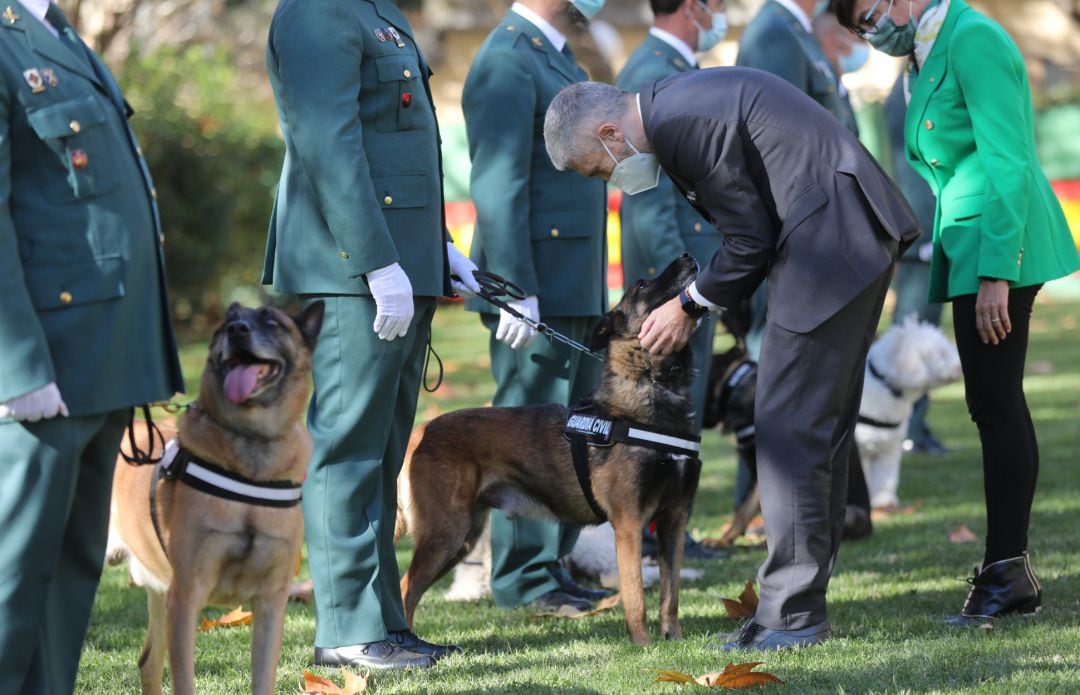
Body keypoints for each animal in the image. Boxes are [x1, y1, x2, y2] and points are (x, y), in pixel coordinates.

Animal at [104, 302, 324, 695]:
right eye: (226, 325)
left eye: (272, 320)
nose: (237, 330)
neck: (251, 450)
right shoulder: (186, 598)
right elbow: (184, 681)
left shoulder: (271, 603)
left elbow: (263, 680)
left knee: (148, 662)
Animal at [397, 254, 699, 647]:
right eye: (644, 286)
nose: (688, 257)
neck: (654, 387)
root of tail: (421, 430)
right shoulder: (630, 524)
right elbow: (636, 597)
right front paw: (644, 647)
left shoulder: (674, 520)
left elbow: (670, 594)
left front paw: (673, 640)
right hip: (446, 533)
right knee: (404, 587)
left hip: (461, 537)